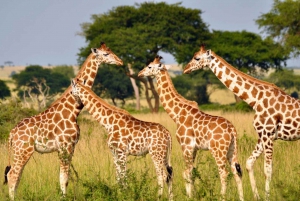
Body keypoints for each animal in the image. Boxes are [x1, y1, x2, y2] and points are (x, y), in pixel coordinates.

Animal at [2, 42, 122, 199]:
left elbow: (63, 177)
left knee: (16, 175)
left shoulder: (69, 147)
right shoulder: (66, 146)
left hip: (20, 151)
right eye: (106, 54)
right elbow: (64, 178)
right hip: (23, 150)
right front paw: (64, 198)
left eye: (111, 51)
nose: (120, 61)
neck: (73, 110)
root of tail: (11, 134)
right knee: (13, 175)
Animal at [138, 55, 244, 201]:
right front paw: (193, 195)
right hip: (232, 150)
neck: (177, 114)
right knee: (236, 172)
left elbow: (186, 172)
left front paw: (189, 196)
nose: (139, 74)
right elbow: (192, 172)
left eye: (149, 66)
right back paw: (241, 198)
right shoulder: (194, 148)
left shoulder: (186, 146)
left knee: (224, 173)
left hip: (218, 150)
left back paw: (222, 197)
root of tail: (232, 130)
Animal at [183, 44, 300, 200]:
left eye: (197, 58)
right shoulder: (264, 135)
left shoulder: (268, 134)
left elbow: (267, 170)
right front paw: (257, 196)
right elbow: (249, 163)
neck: (255, 100)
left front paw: (267, 197)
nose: (185, 69)